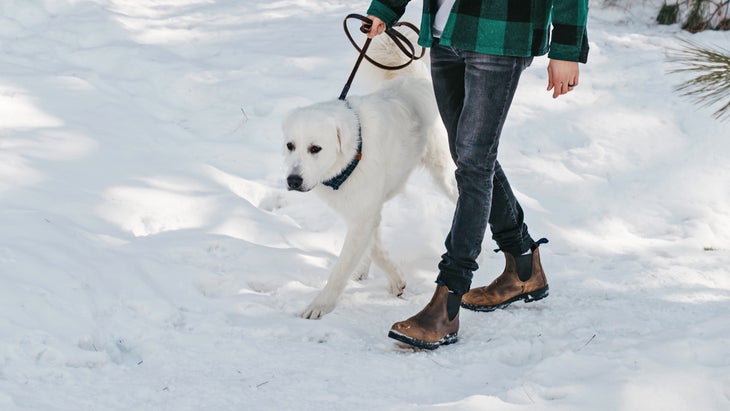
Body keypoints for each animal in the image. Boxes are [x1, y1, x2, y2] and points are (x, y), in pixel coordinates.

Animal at [280, 35, 456, 320]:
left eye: (315, 149)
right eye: (290, 146)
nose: (293, 181)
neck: (353, 153)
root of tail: (413, 80)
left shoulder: (364, 210)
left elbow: (342, 266)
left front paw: (321, 305)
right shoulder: (360, 206)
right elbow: (373, 245)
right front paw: (393, 278)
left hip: (445, 172)